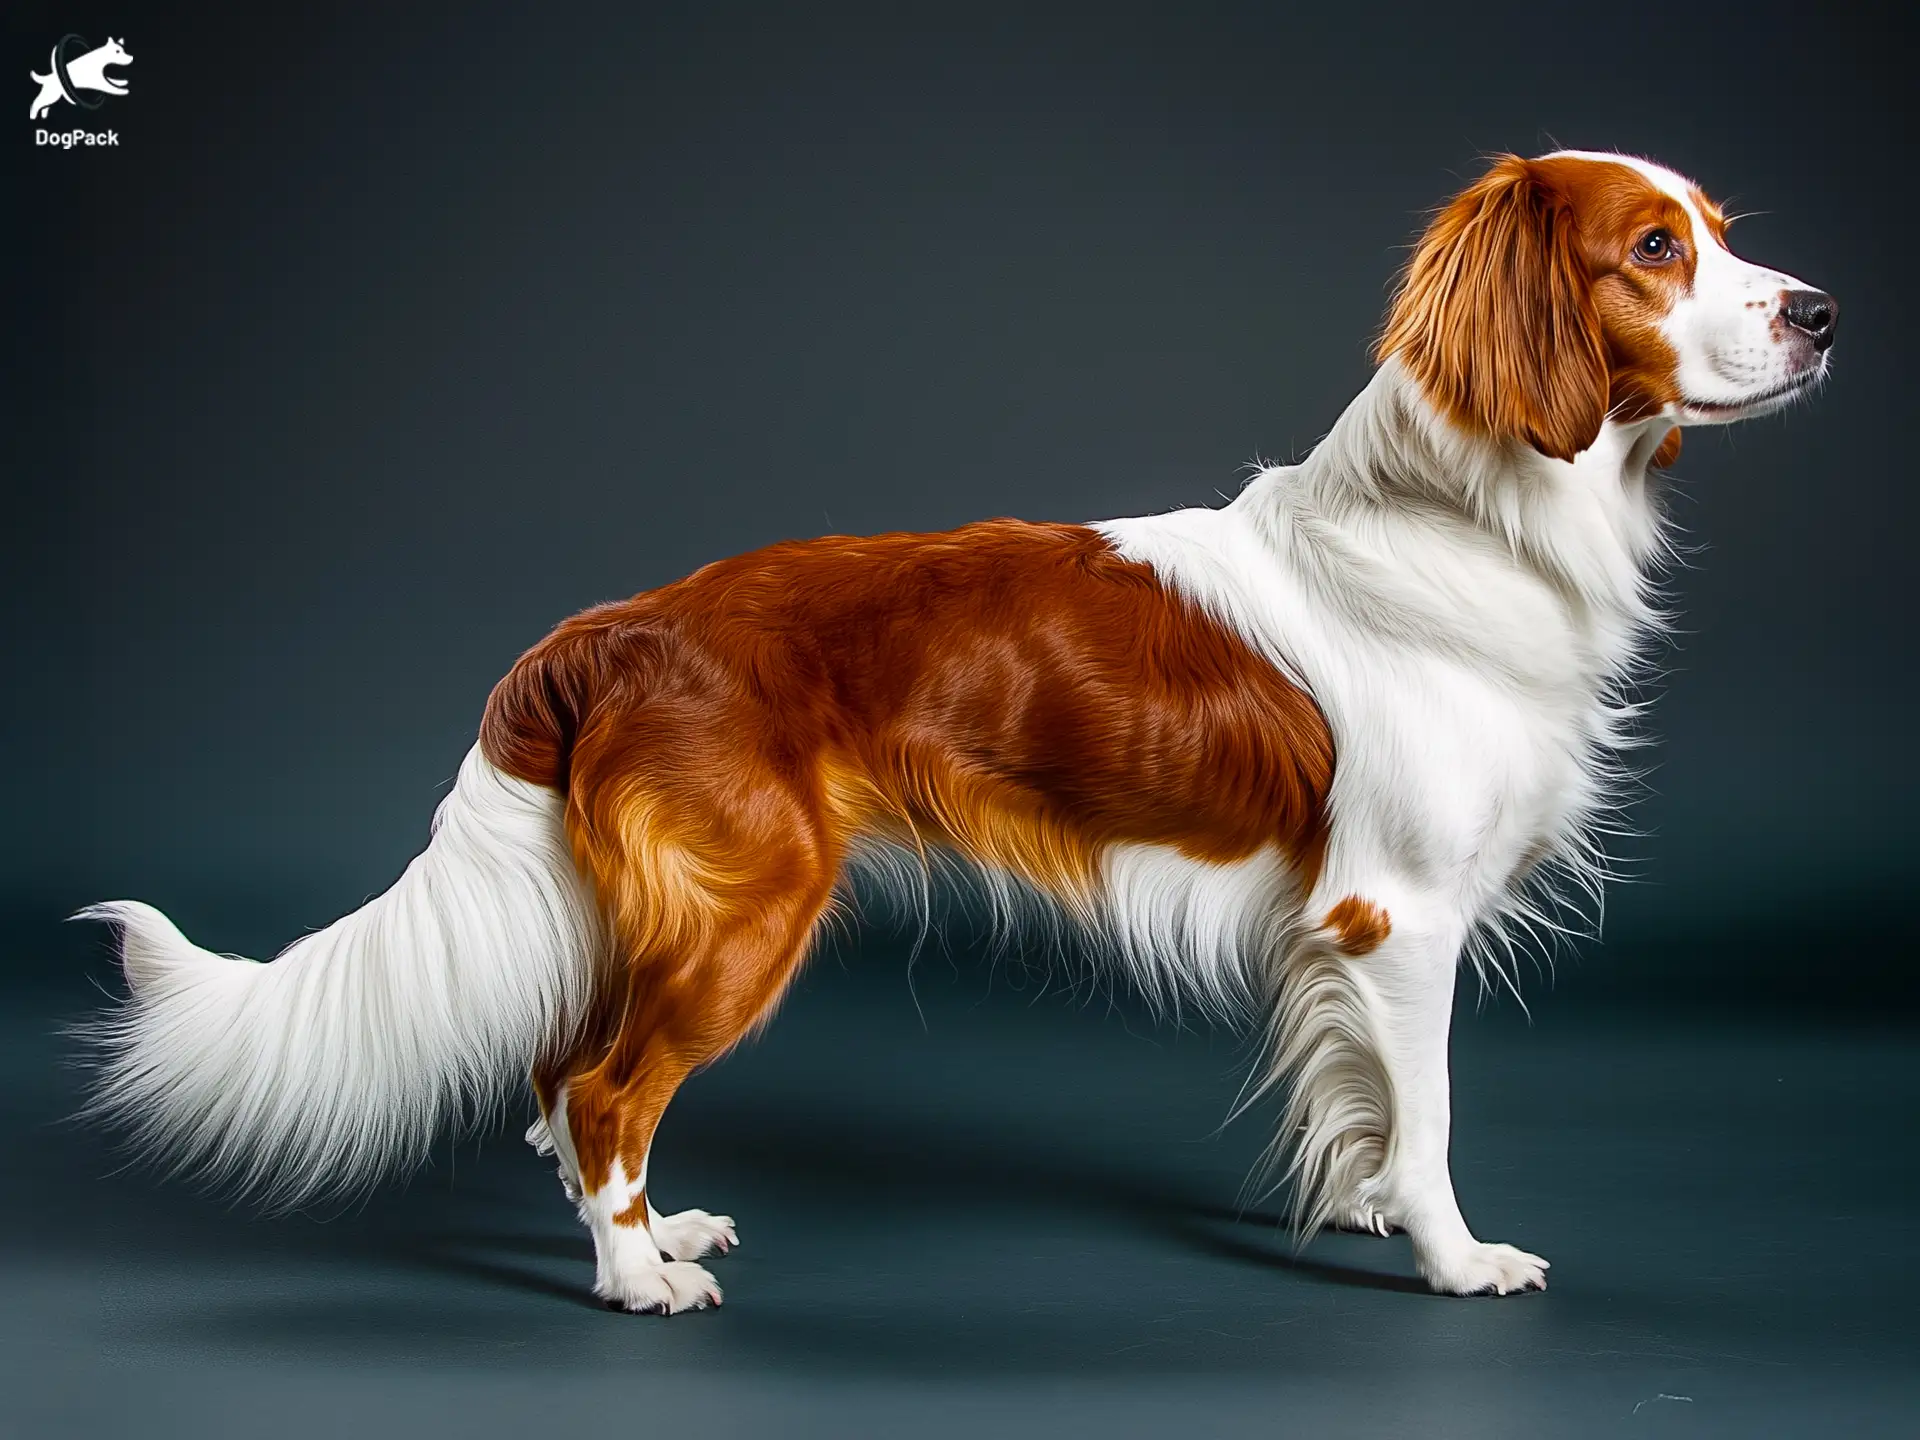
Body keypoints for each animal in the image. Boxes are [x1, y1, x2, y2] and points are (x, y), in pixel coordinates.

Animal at [82, 152, 1835, 1313]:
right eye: (1657, 245)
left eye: (1725, 235)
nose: (1822, 311)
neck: (1475, 515)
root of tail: (606, 629)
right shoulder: (1394, 917)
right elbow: (1434, 1115)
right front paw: (1457, 1257)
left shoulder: (1346, 940)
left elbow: (1359, 1110)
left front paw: (1363, 1218)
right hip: (745, 914)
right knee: (600, 1093)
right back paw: (640, 1282)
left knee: (558, 1081)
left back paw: (654, 1234)